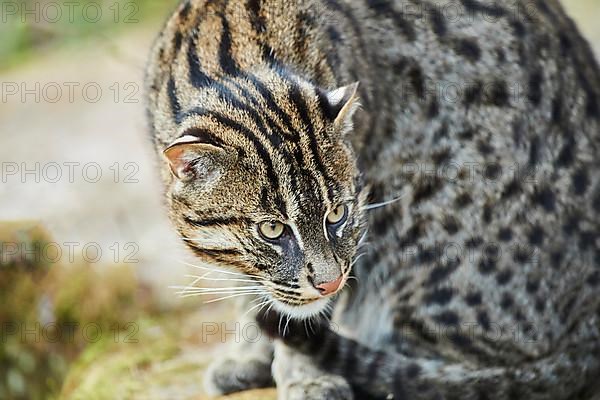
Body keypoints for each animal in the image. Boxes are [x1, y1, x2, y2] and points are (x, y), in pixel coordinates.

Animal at [145, 0, 600, 396]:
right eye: (272, 229)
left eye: (337, 213)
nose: (328, 282)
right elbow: (250, 287)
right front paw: (250, 352)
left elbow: (306, 316)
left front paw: (307, 375)